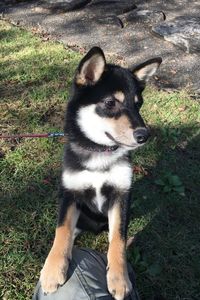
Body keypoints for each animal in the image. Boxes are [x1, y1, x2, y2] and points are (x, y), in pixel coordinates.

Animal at [39, 47, 162, 300]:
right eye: (110, 102)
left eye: (139, 104)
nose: (144, 135)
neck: (99, 152)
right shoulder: (69, 194)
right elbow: (62, 230)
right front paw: (53, 270)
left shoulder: (121, 195)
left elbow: (118, 239)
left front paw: (119, 278)